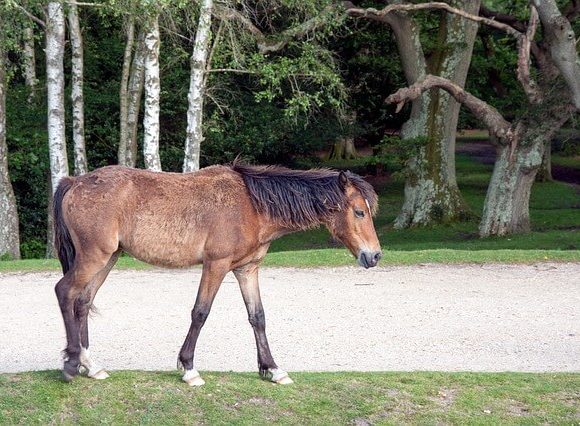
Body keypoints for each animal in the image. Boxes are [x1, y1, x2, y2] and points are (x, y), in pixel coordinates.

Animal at [52, 161, 382, 384]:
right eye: (359, 212)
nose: (375, 255)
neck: (252, 205)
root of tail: (75, 181)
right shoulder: (216, 265)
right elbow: (200, 312)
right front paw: (188, 368)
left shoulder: (247, 269)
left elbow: (258, 317)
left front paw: (273, 369)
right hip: (94, 257)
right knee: (65, 292)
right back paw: (70, 364)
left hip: (108, 258)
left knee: (82, 302)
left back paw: (90, 365)